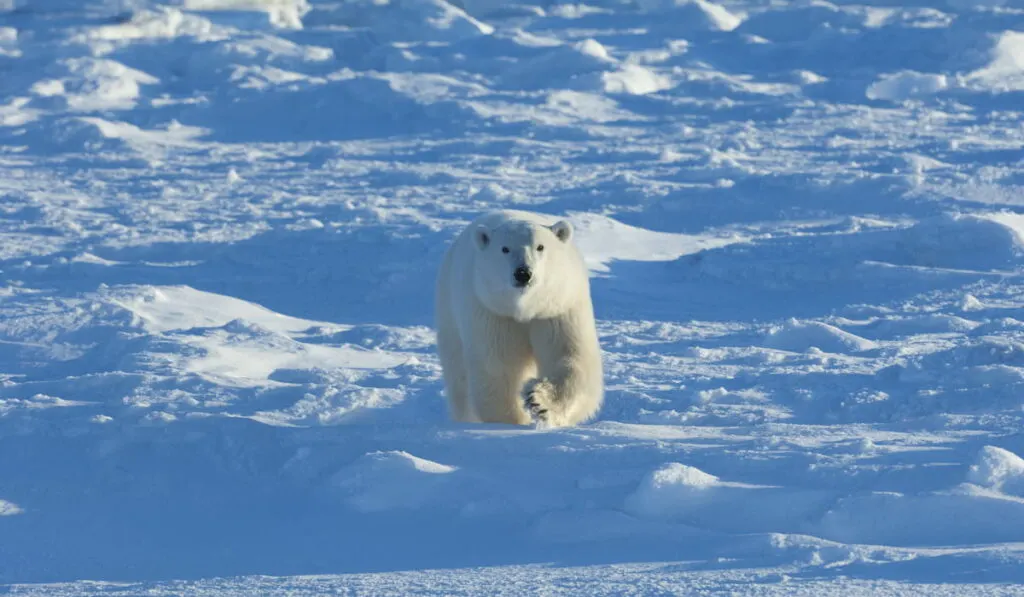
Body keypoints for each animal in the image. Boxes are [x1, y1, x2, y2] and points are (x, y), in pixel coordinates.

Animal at [436, 207, 602, 428]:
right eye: (505, 249)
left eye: (540, 247)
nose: (523, 273)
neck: (526, 308)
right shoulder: (494, 312)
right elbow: (500, 367)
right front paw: (512, 421)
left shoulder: (557, 308)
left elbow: (569, 356)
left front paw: (539, 401)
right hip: (450, 312)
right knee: (458, 376)